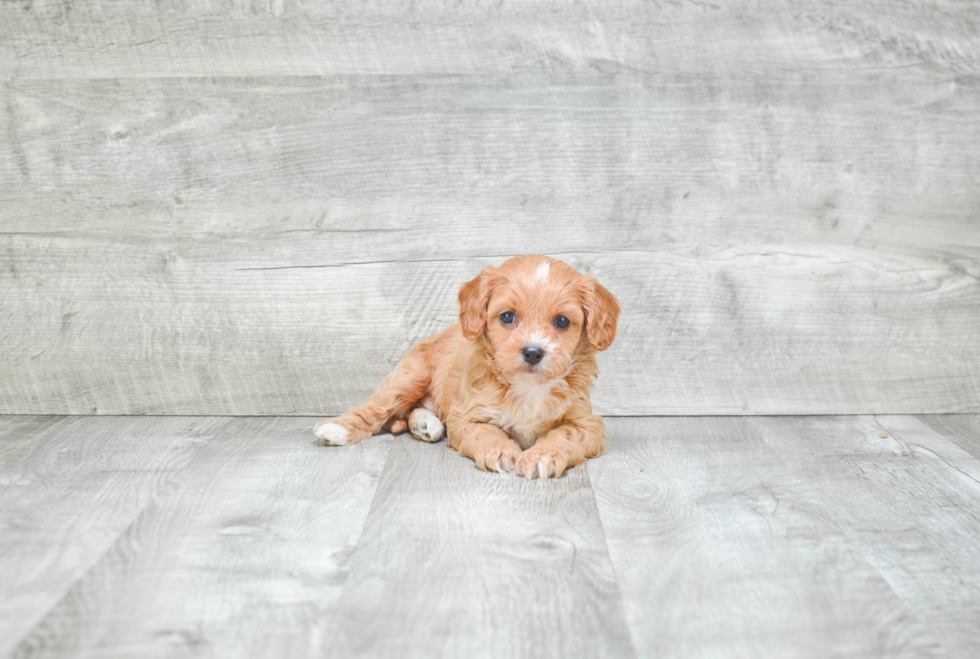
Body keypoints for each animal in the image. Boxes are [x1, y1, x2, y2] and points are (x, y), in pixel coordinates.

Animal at [314, 256, 620, 480]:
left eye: (562, 321)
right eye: (507, 317)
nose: (533, 352)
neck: (528, 387)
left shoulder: (586, 423)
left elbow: (564, 435)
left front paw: (543, 456)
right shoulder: (469, 415)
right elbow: (487, 432)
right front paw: (500, 452)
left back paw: (425, 424)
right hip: (409, 377)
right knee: (376, 408)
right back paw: (337, 429)